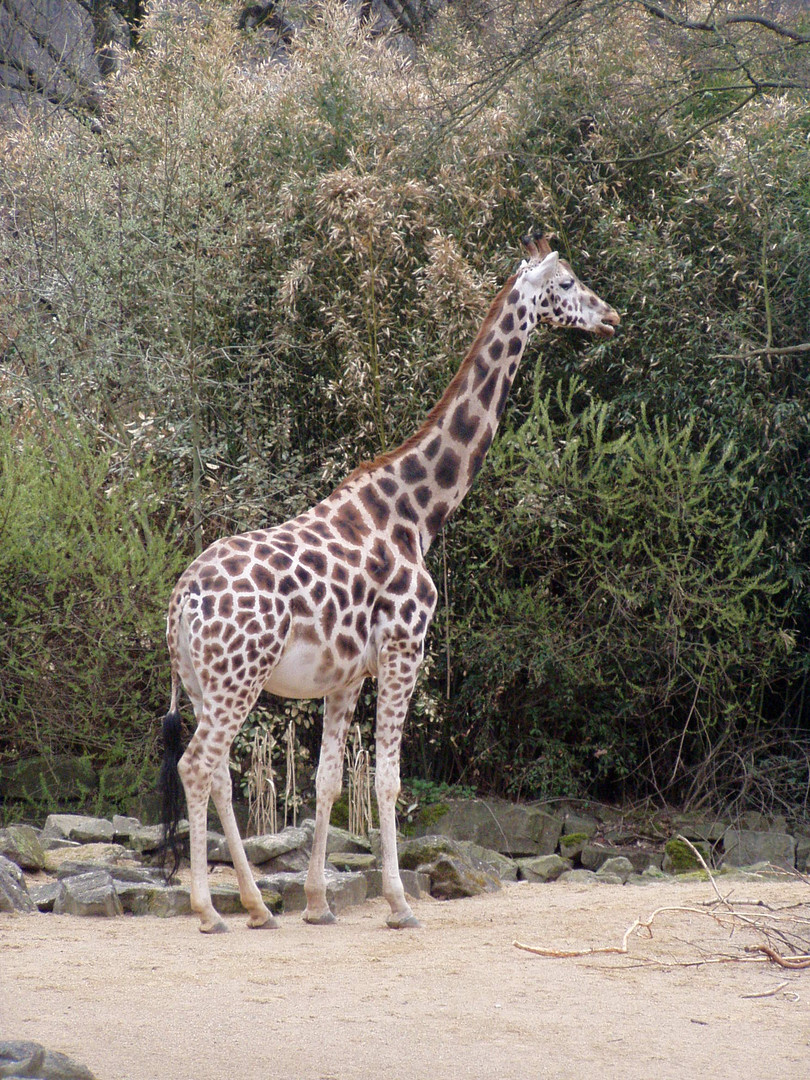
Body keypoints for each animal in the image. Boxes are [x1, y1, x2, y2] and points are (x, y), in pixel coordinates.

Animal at [162, 232, 622, 933]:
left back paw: (257, 906)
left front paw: (318, 904)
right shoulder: (407, 648)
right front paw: (401, 903)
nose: (612, 317)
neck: (416, 514)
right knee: (197, 766)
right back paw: (208, 910)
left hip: (202, 681)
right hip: (237, 677)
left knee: (216, 774)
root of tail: (183, 598)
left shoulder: (347, 674)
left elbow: (327, 781)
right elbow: (386, 780)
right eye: (567, 283)